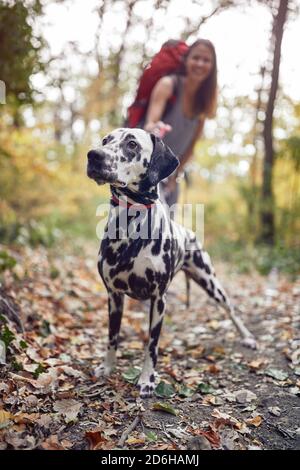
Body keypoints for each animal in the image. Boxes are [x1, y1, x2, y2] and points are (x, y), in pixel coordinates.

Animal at [86, 127, 255, 396]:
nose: (94, 155)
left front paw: (147, 379)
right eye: (105, 140)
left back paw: (247, 336)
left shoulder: (159, 300)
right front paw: (108, 367)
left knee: (231, 309)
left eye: (132, 144)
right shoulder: (114, 296)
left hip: (211, 282)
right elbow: (112, 337)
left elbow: (152, 346)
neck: (130, 227)